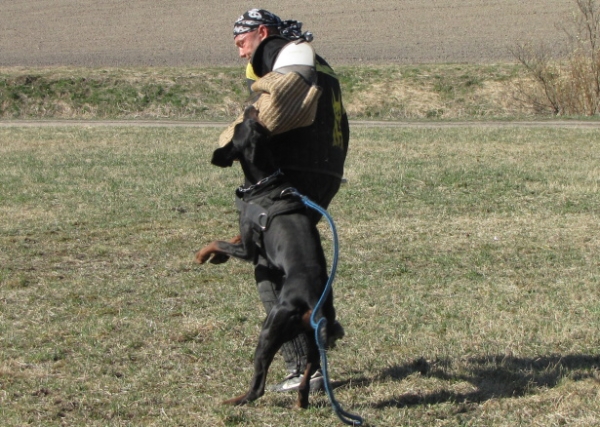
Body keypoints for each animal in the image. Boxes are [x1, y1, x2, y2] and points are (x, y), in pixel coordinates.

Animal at [197, 105, 338, 410]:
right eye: (257, 123)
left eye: (244, 123)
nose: (252, 107)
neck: (265, 182)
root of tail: (312, 301)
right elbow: (230, 240)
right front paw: (216, 257)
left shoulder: (250, 250)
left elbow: (219, 242)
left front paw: (203, 255)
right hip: (312, 337)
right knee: (310, 368)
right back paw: (300, 400)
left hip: (271, 328)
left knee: (258, 386)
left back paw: (235, 400)